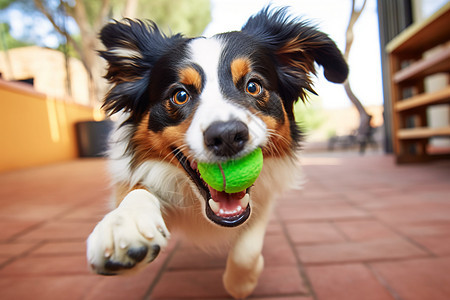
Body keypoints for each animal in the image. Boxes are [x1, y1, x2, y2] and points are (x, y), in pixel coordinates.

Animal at [88, 7, 348, 298]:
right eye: (180, 95)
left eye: (253, 86)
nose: (226, 137)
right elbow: (135, 191)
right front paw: (125, 225)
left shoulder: (265, 198)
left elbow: (247, 248)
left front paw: (242, 282)